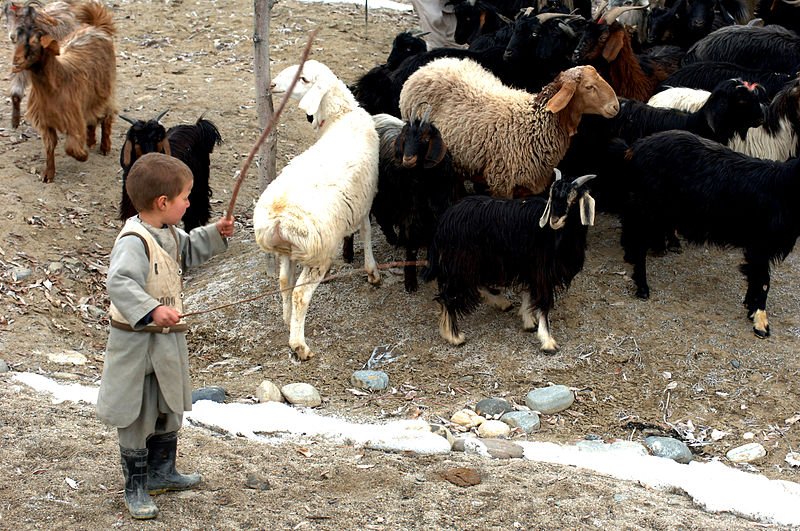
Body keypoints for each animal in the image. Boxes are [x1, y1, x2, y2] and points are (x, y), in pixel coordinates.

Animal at [256, 60, 382, 364]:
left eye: (303, 78)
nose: (272, 85)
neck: (341, 117)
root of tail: (279, 215)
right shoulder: (365, 198)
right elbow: (366, 230)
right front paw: (372, 271)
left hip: (288, 249)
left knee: (284, 281)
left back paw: (288, 321)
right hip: (319, 250)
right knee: (301, 293)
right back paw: (299, 345)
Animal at [398, 58, 620, 198]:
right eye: (589, 87)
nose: (616, 106)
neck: (535, 121)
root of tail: (431, 64)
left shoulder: (530, 184)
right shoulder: (501, 182)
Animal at [424, 170, 592, 354]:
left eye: (574, 199)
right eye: (552, 196)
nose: (554, 220)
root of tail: (444, 221)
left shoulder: (529, 267)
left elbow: (528, 293)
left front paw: (528, 321)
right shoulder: (542, 271)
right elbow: (543, 302)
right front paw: (548, 341)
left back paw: (501, 303)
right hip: (462, 263)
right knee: (448, 295)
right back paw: (454, 336)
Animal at [620, 129, 800, 338]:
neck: (783, 189)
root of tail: (635, 148)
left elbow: (754, 277)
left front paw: (749, 307)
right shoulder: (761, 244)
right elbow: (764, 282)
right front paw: (761, 324)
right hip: (649, 207)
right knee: (639, 243)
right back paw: (642, 288)